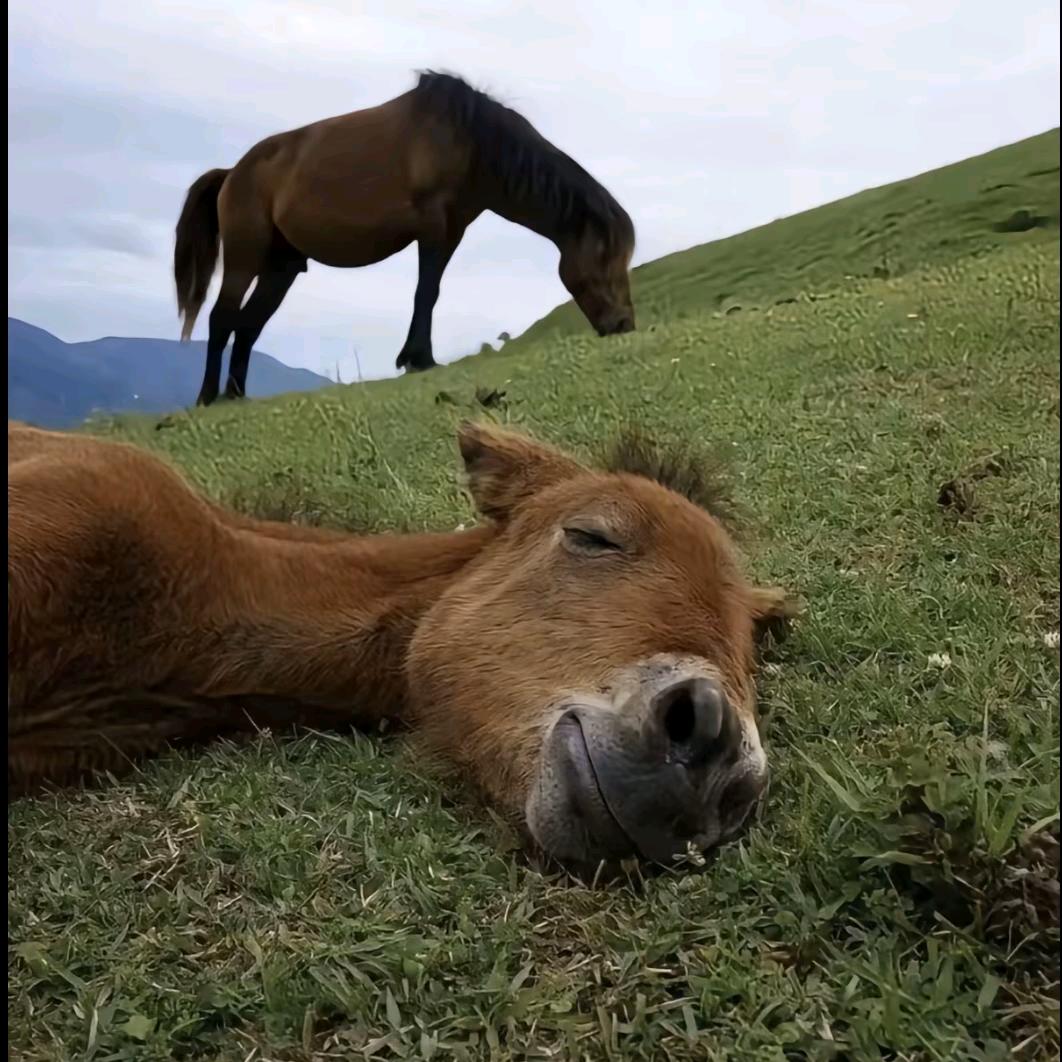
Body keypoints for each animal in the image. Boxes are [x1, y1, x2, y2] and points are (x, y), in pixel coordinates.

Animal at [174, 71, 637, 407]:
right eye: (605, 258)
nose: (624, 325)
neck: (471, 142)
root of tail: (231, 173)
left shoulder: (451, 233)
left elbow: (430, 292)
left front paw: (417, 356)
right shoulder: (432, 229)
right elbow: (424, 291)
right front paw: (418, 359)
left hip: (281, 268)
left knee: (249, 325)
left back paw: (236, 394)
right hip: (244, 258)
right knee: (222, 318)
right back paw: (207, 397)